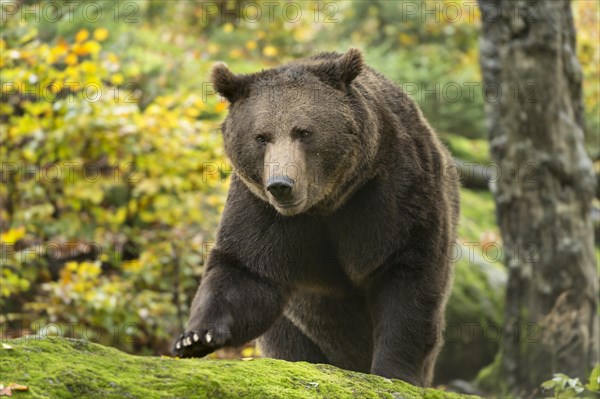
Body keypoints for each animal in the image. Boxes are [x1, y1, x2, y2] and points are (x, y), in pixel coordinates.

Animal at [173, 47, 460, 388]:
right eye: (261, 137)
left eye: (304, 132)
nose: (281, 184)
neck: (326, 200)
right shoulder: (260, 208)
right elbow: (245, 270)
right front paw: (195, 338)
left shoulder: (391, 191)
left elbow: (406, 272)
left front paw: (394, 372)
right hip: (296, 326)